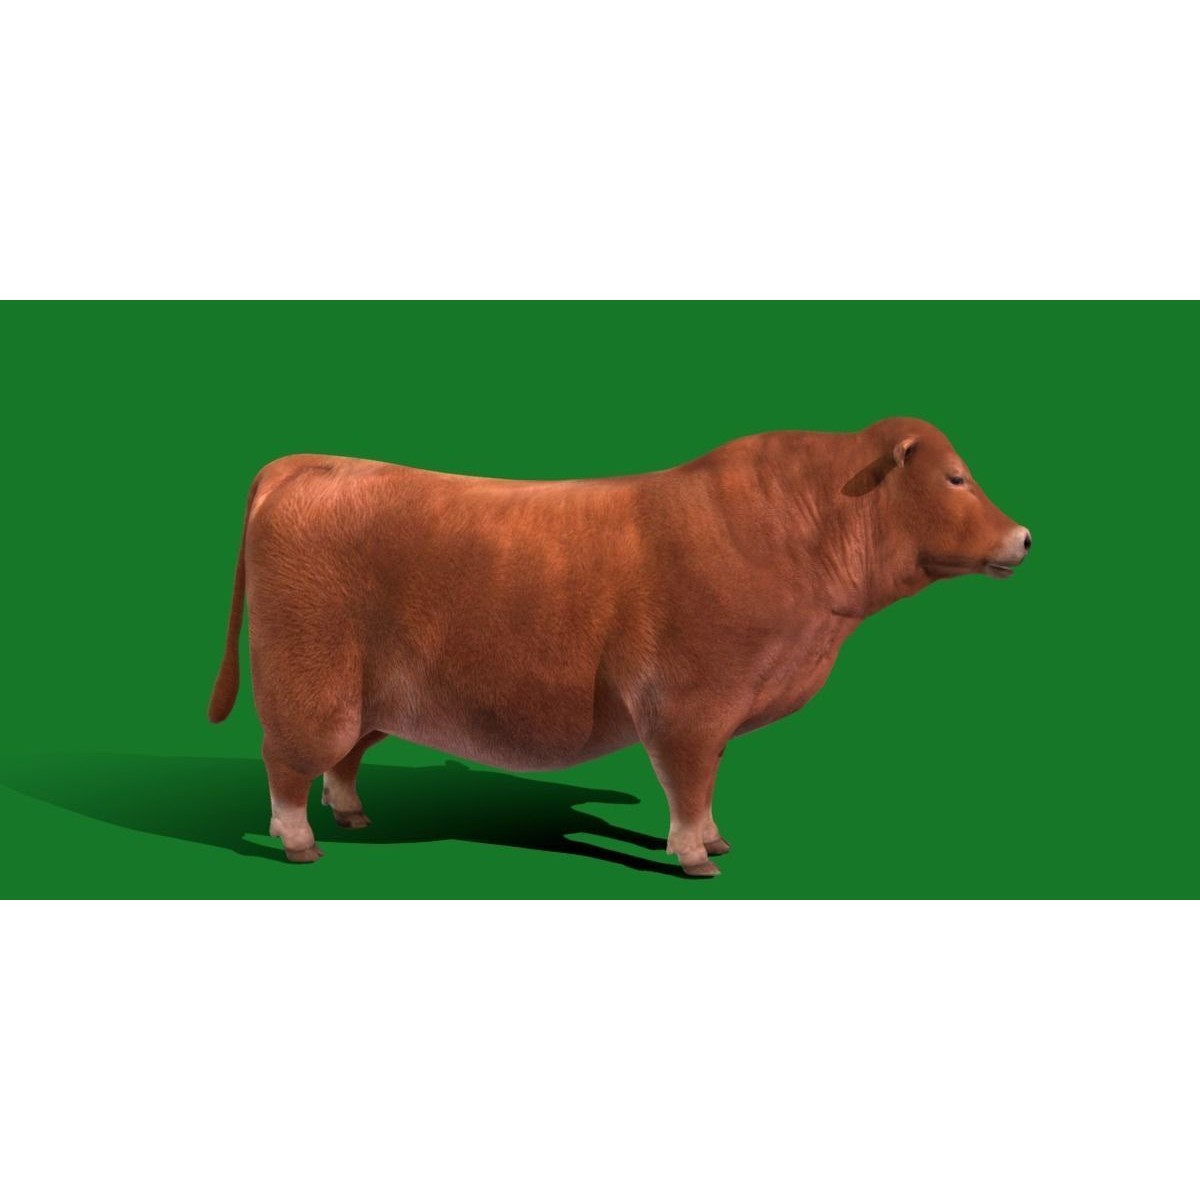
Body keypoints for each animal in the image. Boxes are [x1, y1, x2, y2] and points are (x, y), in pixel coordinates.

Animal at [209, 417, 1031, 877]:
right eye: (956, 478)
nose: (1025, 536)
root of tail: (311, 463)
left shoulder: (718, 710)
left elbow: (706, 787)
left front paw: (715, 842)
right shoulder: (688, 705)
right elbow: (689, 784)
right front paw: (696, 857)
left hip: (366, 693)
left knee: (342, 761)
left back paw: (350, 817)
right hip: (309, 681)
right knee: (287, 763)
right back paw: (299, 843)